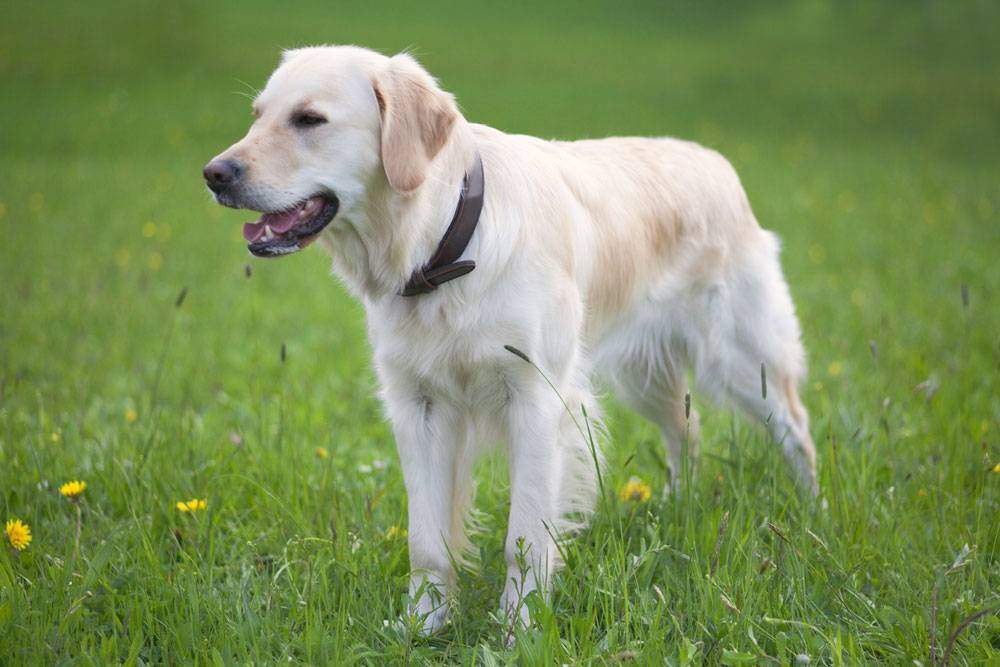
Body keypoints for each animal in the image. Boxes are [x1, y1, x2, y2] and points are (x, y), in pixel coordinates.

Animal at [205, 45, 820, 632]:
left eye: (309, 119)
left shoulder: (536, 400)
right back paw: (674, 508)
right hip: (644, 376)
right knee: (686, 432)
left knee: (796, 429)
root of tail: (715, 160)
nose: (214, 174)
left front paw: (516, 630)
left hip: (742, 360)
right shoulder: (417, 406)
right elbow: (427, 542)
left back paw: (812, 517)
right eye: (258, 115)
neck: (446, 246)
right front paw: (421, 624)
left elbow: (523, 540)